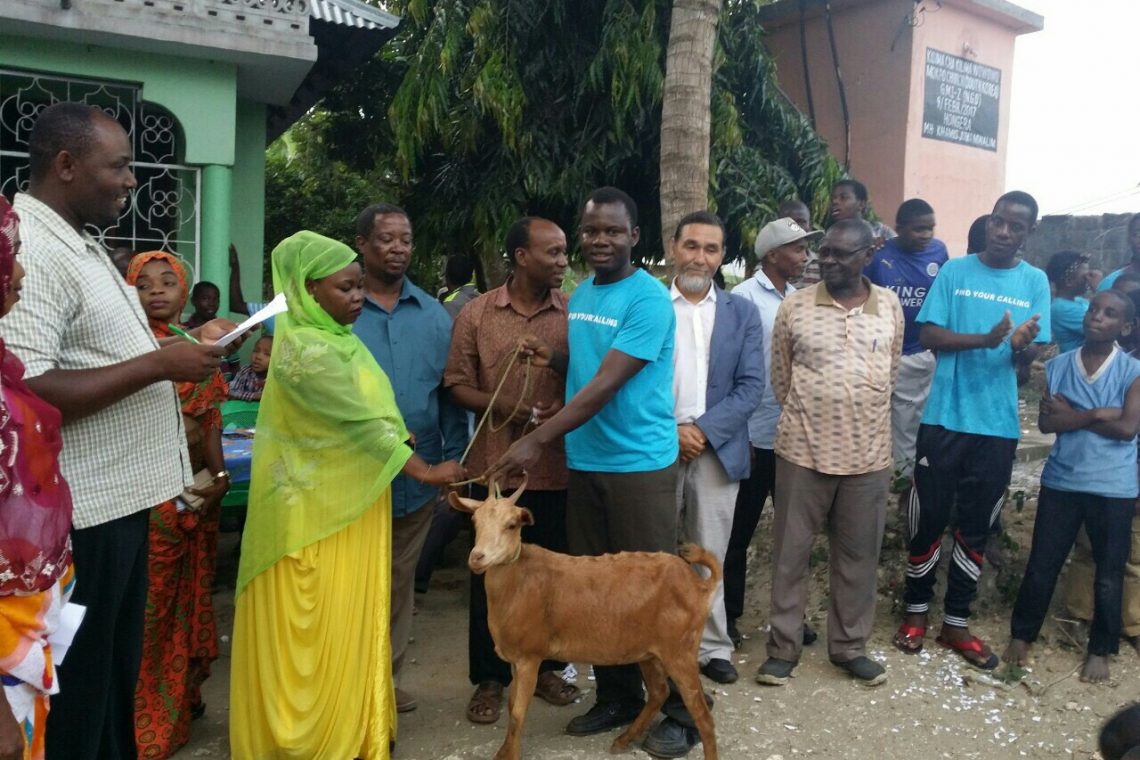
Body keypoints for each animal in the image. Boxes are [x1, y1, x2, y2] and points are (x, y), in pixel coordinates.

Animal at [448, 477, 719, 760]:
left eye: (511, 525)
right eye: (474, 521)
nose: (477, 557)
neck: (518, 581)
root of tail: (700, 585)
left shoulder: (529, 656)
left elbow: (517, 714)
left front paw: (509, 755)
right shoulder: (515, 658)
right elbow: (512, 705)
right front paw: (503, 751)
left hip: (680, 650)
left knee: (702, 715)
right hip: (649, 652)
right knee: (659, 692)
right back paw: (623, 739)